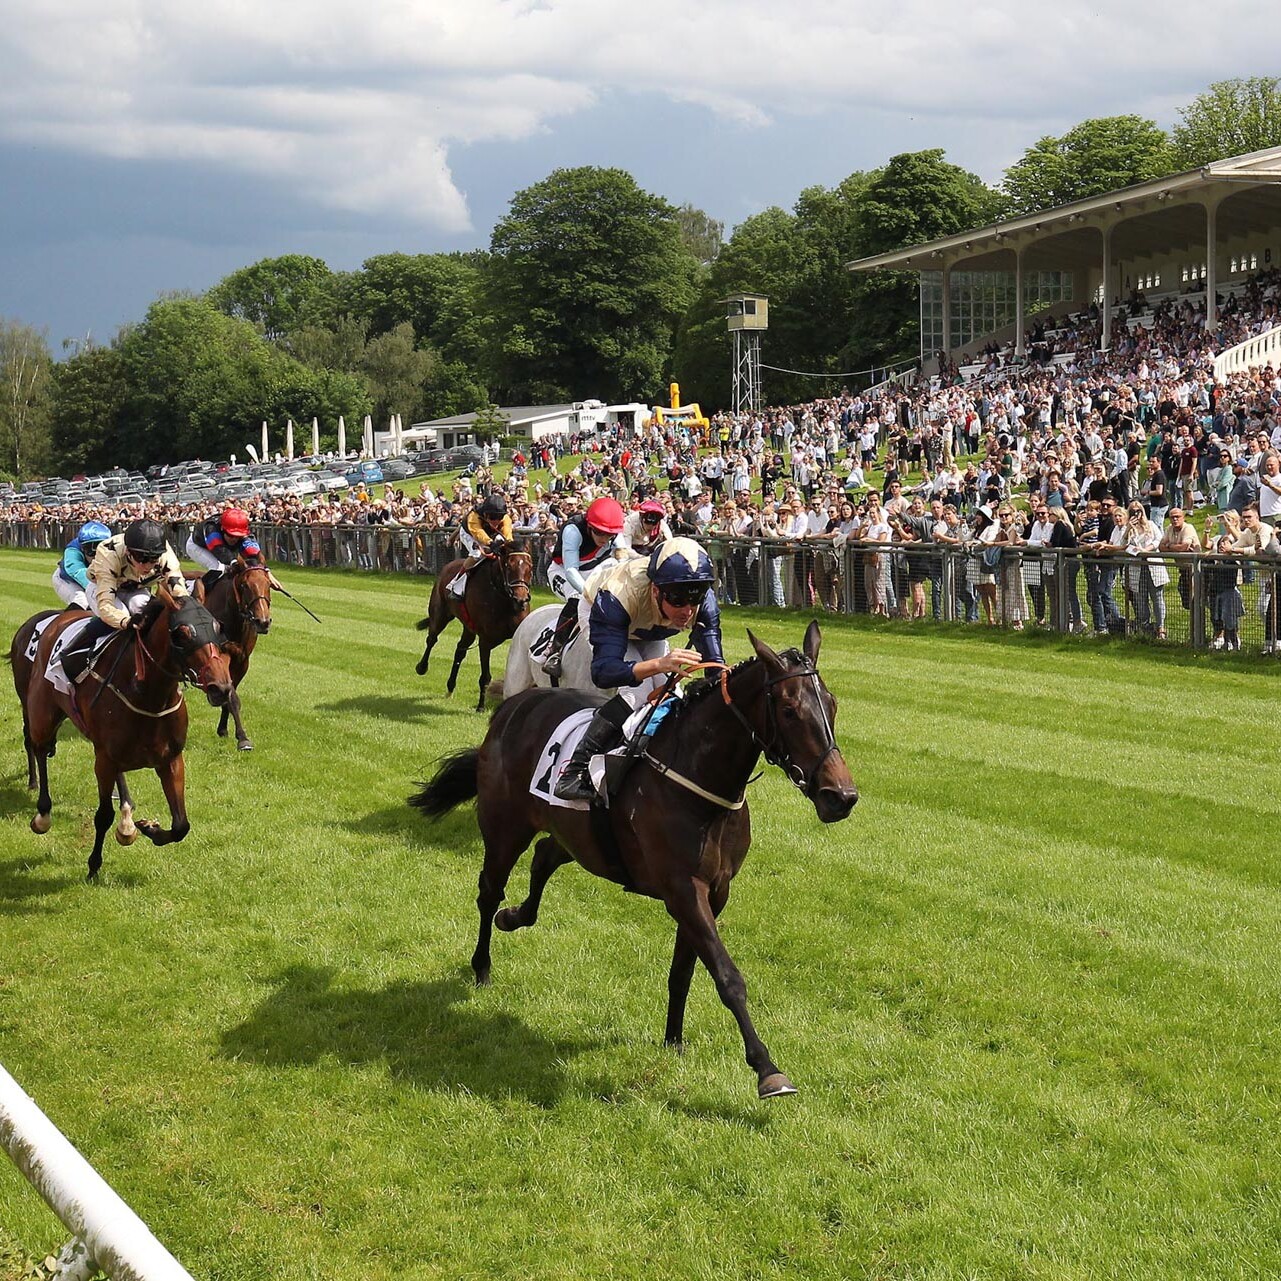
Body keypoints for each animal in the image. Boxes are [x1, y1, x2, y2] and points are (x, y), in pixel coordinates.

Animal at [13, 589, 235, 881]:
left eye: (218, 628)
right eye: (181, 634)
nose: (222, 687)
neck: (149, 696)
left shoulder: (171, 759)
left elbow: (181, 825)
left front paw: (149, 828)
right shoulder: (105, 760)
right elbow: (103, 815)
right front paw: (93, 866)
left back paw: (127, 819)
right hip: (41, 712)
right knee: (38, 746)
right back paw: (43, 813)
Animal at [194, 561, 272, 748]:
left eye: (268, 584)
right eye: (244, 585)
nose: (263, 622)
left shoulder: (242, 661)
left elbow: (229, 694)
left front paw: (226, 730)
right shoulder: (220, 655)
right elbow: (230, 695)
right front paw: (243, 738)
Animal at [412, 622, 860, 1101]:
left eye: (832, 704)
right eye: (790, 710)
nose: (841, 796)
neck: (699, 779)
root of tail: (512, 706)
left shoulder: (714, 891)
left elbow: (684, 970)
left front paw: (673, 1040)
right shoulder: (683, 890)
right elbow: (726, 976)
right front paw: (767, 1069)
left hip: (577, 833)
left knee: (545, 856)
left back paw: (515, 917)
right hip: (505, 828)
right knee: (489, 891)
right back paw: (482, 965)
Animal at [417, 538, 532, 712]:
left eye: (529, 566)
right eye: (509, 566)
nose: (521, 600)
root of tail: (447, 566)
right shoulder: (485, 640)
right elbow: (485, 676)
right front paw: (481, 706)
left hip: (468, 628)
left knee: (460, 650)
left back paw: (450, 687)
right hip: (440, 614)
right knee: (432, 639)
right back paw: (422, 667)